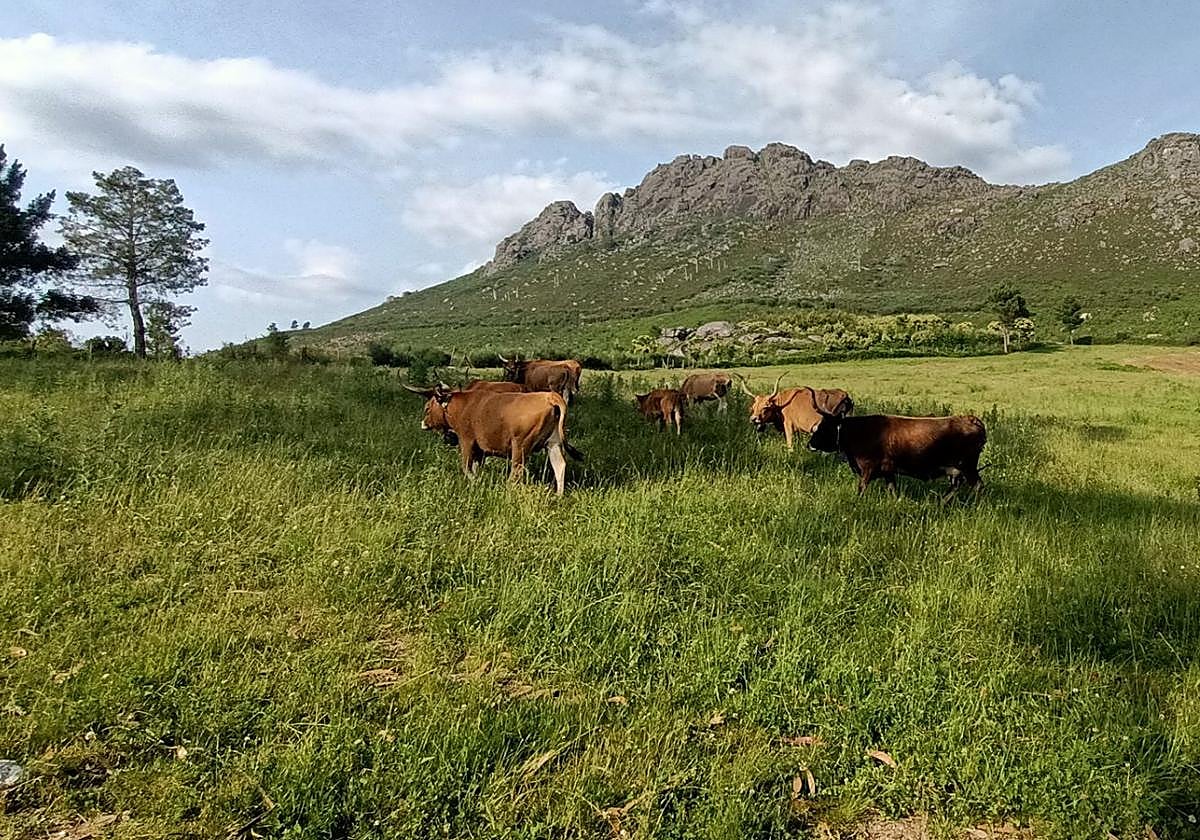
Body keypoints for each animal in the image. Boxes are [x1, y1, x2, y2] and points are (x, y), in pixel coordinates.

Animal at [405, 384, 581, 496]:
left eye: (427, 408)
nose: (423, 423)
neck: (462, 405)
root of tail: (549, 396)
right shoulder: (480, 451)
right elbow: (476, 468)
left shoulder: (467, 441)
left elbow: (466, 468)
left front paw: (476, 483)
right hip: (553, 443)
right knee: (559, 466)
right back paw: (559, 496)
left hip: (520, 446)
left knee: (516, 471)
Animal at [808, 409, 987, 495]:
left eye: (824, 427)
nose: (809, 444)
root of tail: (971, 419)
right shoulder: (888, 471)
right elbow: (893, 491)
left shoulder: (868, 468)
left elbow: (861, 489)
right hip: (957, 469)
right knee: (956, 487)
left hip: (967, 466)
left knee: (978, 486)